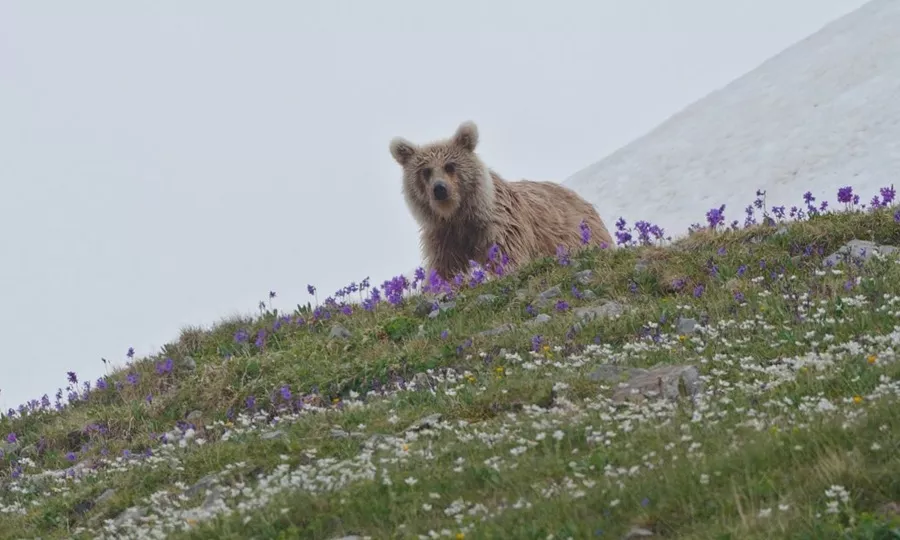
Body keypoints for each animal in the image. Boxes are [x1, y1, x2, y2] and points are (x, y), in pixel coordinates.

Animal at [390, 121, 616, 280]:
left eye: (450, 166)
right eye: (426, 171)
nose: (439, 189)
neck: (460, 216)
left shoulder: (499, 224)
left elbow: (506, 256)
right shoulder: (443, 235)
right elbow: (444, 269)